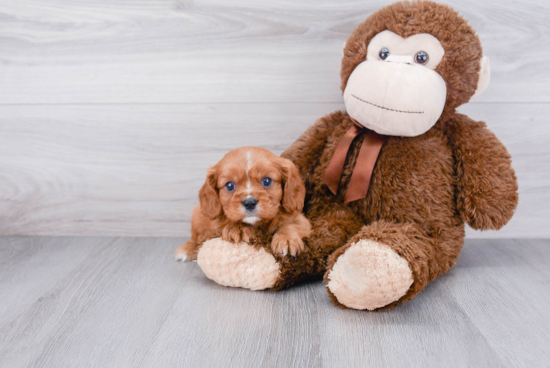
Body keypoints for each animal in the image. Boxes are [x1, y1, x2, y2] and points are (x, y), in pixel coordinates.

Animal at [177, 147, 314, 262]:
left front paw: (286, 239)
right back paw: (187, 248)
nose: (249, 203)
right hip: (197, 215)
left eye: (267, 181)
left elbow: (290, 225)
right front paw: (239, 228)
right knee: (196, 237)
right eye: (230, 185)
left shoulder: (300, 219)